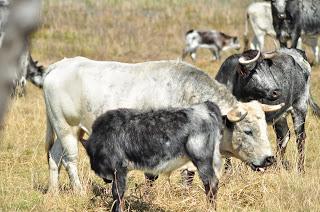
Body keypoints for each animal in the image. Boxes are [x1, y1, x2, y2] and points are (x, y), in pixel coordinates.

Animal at [43, 58, 282, 192]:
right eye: (248, 131)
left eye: (264, 129)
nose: (269, 159)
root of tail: (60, 65)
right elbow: (156, 175)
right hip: (66, 128)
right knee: (70, 160)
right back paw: (78, 191)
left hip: (66, 130)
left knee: (54, 157)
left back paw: (54, 191)